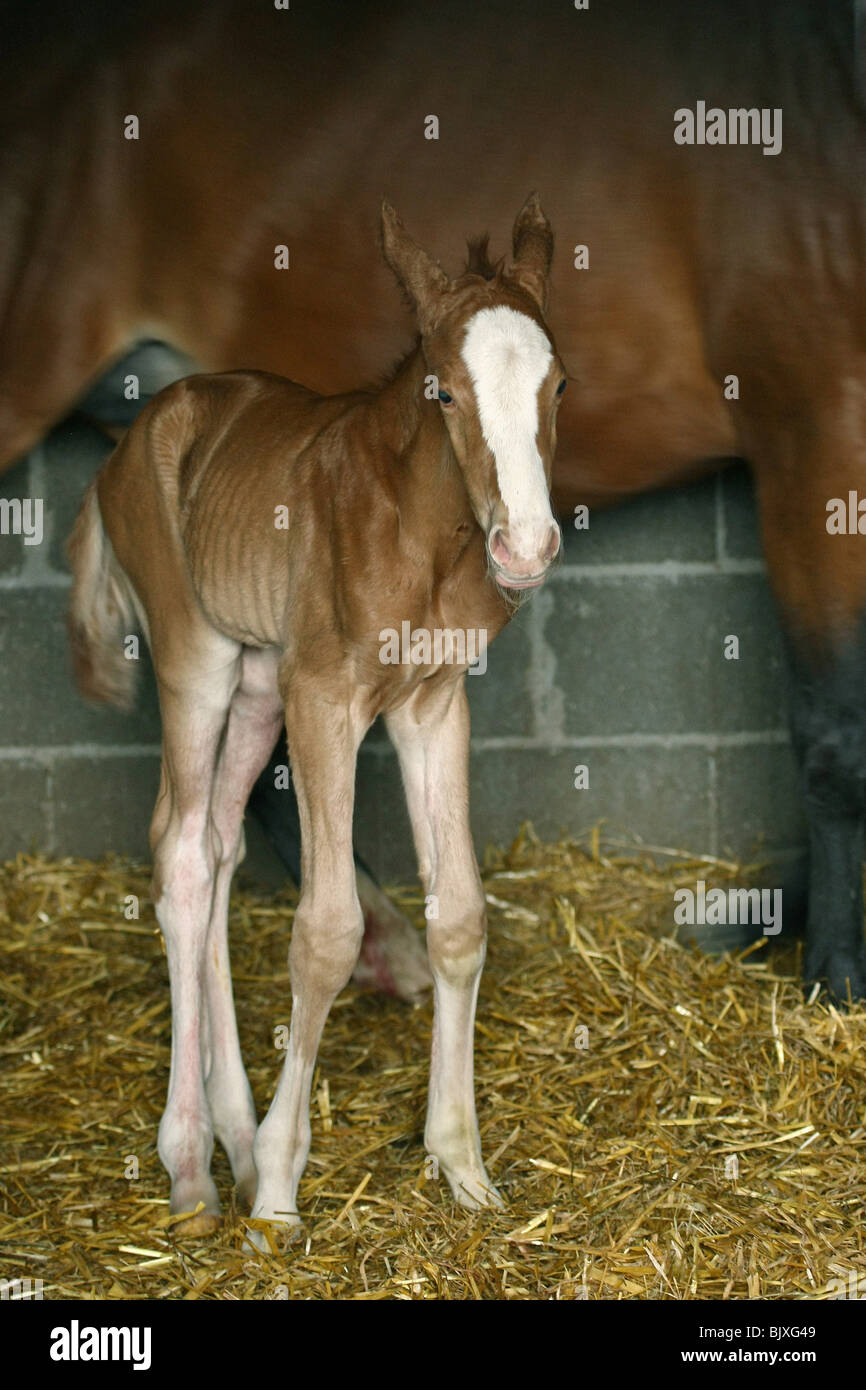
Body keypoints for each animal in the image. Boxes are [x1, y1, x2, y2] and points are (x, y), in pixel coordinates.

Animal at [66, 197, 566, 1242]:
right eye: (443, 392)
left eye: (560, 384)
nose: (527, 546)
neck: (419, 532)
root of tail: (133, 439)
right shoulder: (327, 699)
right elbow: (328, 932)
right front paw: (282, 1197)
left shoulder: (431, 704)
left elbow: (461, 917)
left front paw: (464, 1170)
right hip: (199, 660)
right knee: (180, 849)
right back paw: (197, 1173)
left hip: (261, 684)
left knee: (218, 847)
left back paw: (234, 1140)